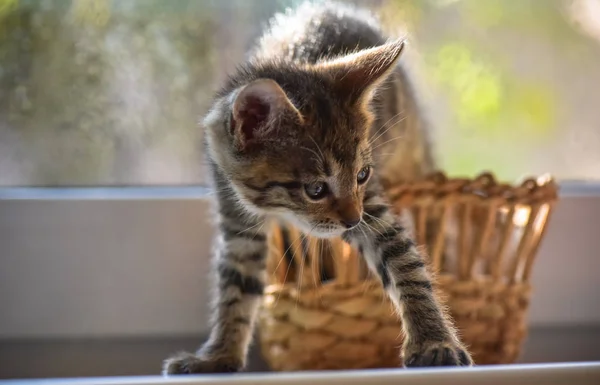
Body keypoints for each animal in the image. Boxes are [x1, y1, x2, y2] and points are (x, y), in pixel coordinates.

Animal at [162, 1, 472, 374]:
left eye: (362, 174)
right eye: (315, 190)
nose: (352, 220)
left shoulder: (371, 206)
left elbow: (405, 263)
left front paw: (433, 341)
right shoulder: (235, 216)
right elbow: (236, 284)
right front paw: (219, 356)